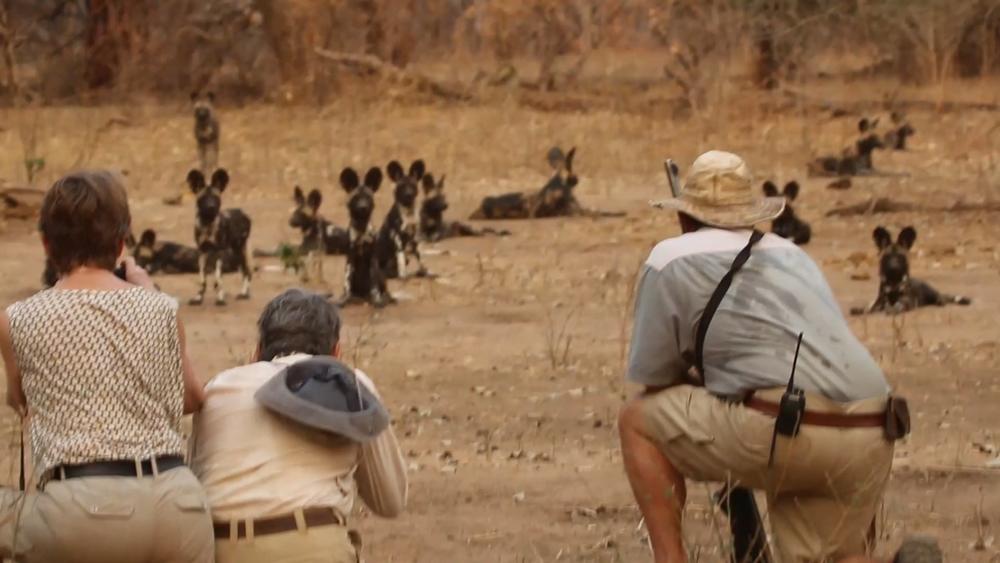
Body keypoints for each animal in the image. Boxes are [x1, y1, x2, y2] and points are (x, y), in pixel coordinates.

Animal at [188, 167, 252, 306]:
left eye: (215, 197)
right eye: (203, 198)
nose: (211, 206)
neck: (207, 224)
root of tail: (242, 212)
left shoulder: (219, 252)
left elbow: (217, 279)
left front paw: (220, 299)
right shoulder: (202, 252)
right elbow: (202, 280)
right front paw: (198, 298)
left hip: (239, 250)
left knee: (247, 272)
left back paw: (244, 294)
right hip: (235, 253)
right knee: (244, 271)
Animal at [342, 166, 392, 308]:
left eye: (368, 197)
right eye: (356, 198)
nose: (363, 207)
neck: (361, 228)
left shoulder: (372, 259)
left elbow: (374, 285)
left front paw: (377, 301)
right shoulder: (350, 259)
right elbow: (346, 283)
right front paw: (344, 300)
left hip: (381, 274)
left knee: (385, 291)